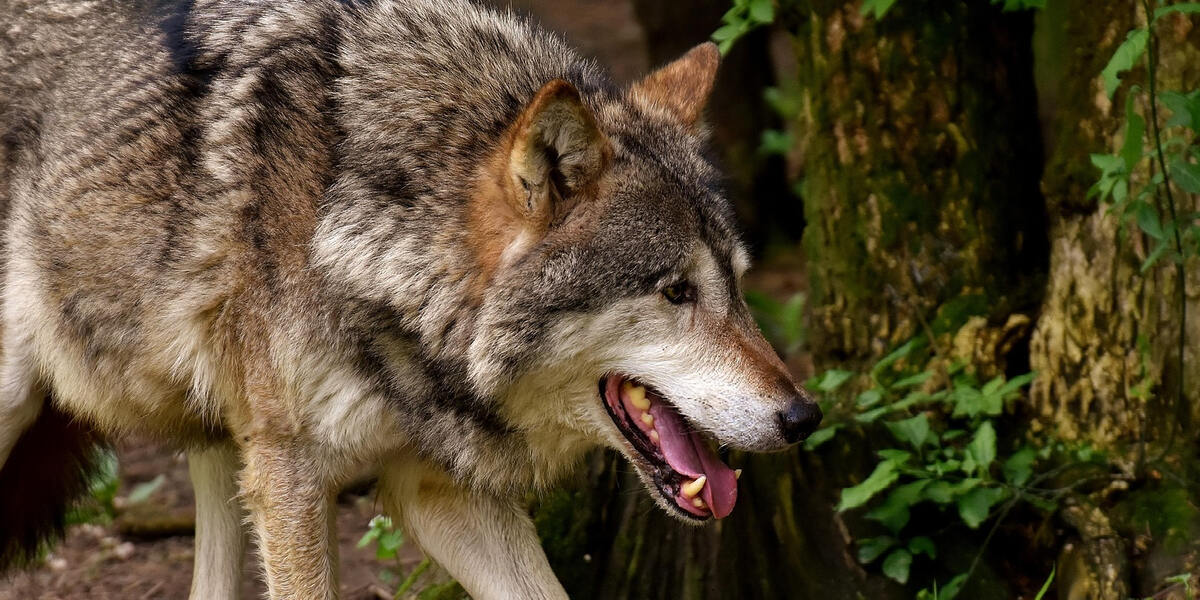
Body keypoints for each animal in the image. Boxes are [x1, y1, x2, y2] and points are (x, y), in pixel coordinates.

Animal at [0, 0, 821, 597]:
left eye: (737, 284)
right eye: (677, 291)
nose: (803, 416)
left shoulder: (437, 488)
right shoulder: (292, 481)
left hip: (221, 448)